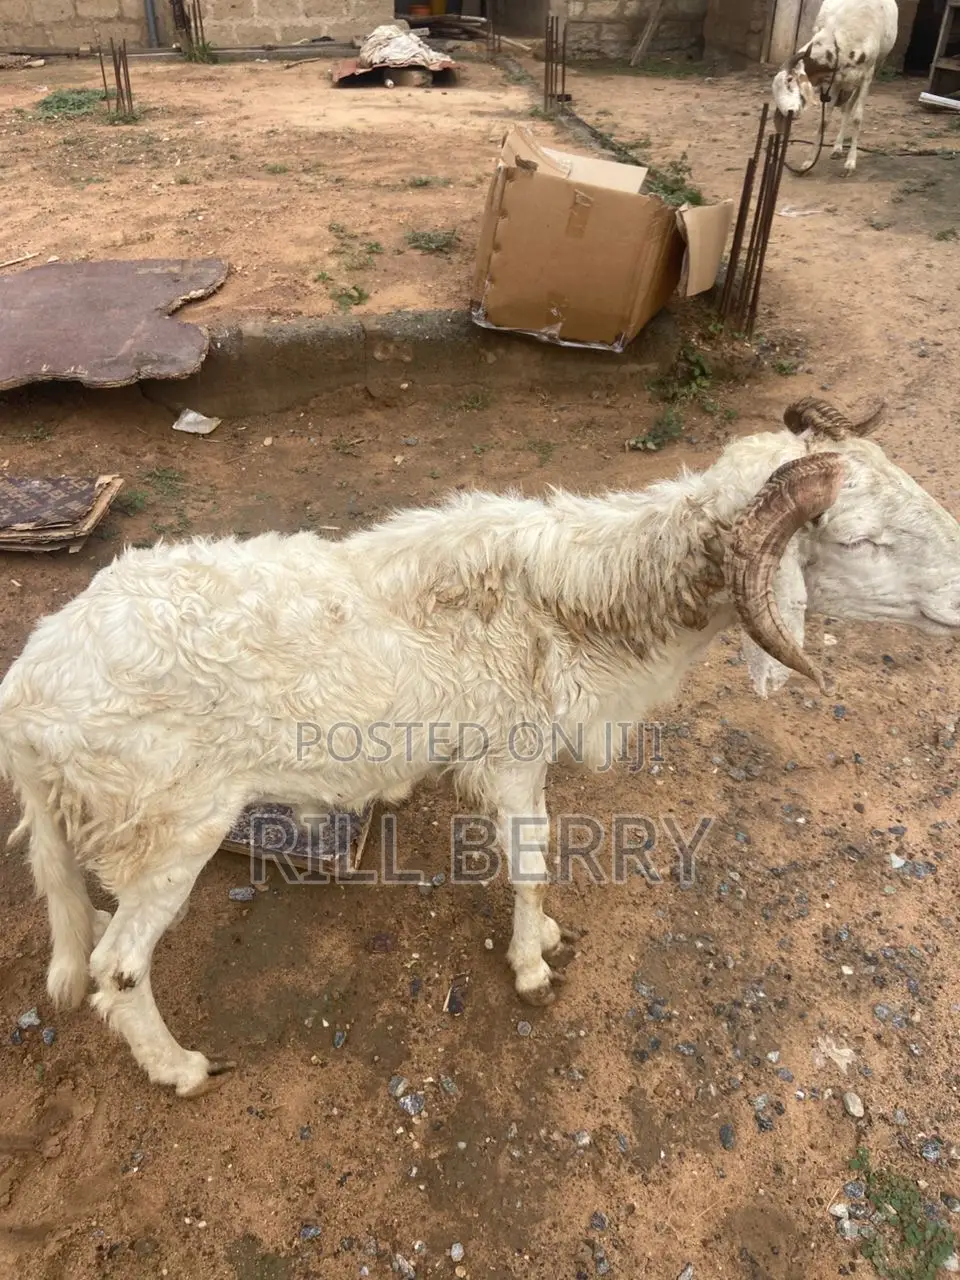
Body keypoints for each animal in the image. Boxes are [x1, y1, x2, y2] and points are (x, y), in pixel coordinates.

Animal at [1, 396, 959, 1098]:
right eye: (862, 540)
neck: (579, 603)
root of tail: (25, 693)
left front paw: (547, 939)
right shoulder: (513, 756)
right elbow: (532, 862)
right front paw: (533, 964)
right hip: (172, 831)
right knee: (119, 971)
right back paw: (183, 1069)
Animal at [771, 0, 898, 174]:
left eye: (790, 79)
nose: (788, 113)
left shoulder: (867, 75)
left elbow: (857, 118)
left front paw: (850, 163)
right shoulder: (835, 78)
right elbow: (824, 121)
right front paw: (809, 162)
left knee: (849, 108)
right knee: (844, 108)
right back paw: (837, 148)